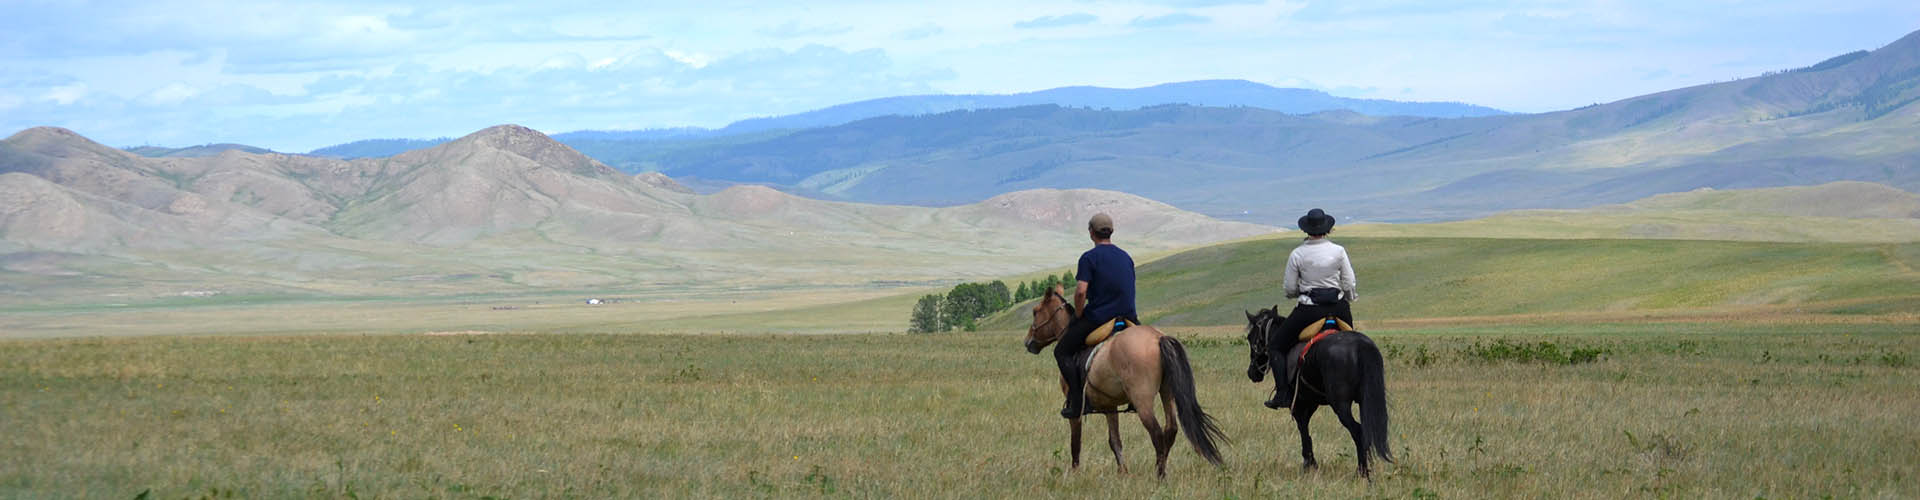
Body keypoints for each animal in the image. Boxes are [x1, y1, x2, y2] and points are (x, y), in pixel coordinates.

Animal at [1021, 284, 1228, 476]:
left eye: (1035, 311)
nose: (1028, 342)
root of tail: (1157, 338)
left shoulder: (1075, 408)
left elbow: (1076, 443)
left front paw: (1074, 472)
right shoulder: (1109, 406)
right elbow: (1115, 441)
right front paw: (1123, 472)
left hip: (1142, 400)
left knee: (1157, 434)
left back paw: (1159, 476)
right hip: (1167, 392)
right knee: (1170, 430)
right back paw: (1161, 471)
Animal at [1244, 305, 1397, 478]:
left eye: (1250, 337)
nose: (1251, 373)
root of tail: (1360, 346)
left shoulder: (1299, 403)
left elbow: (1302, 428)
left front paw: (1309, 463)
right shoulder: (1310, 402)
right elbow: (1305, 428)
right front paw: (1311, 462)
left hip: (1341, 405)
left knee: (1358, 431)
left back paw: (1362, 472)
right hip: (1365, 400)